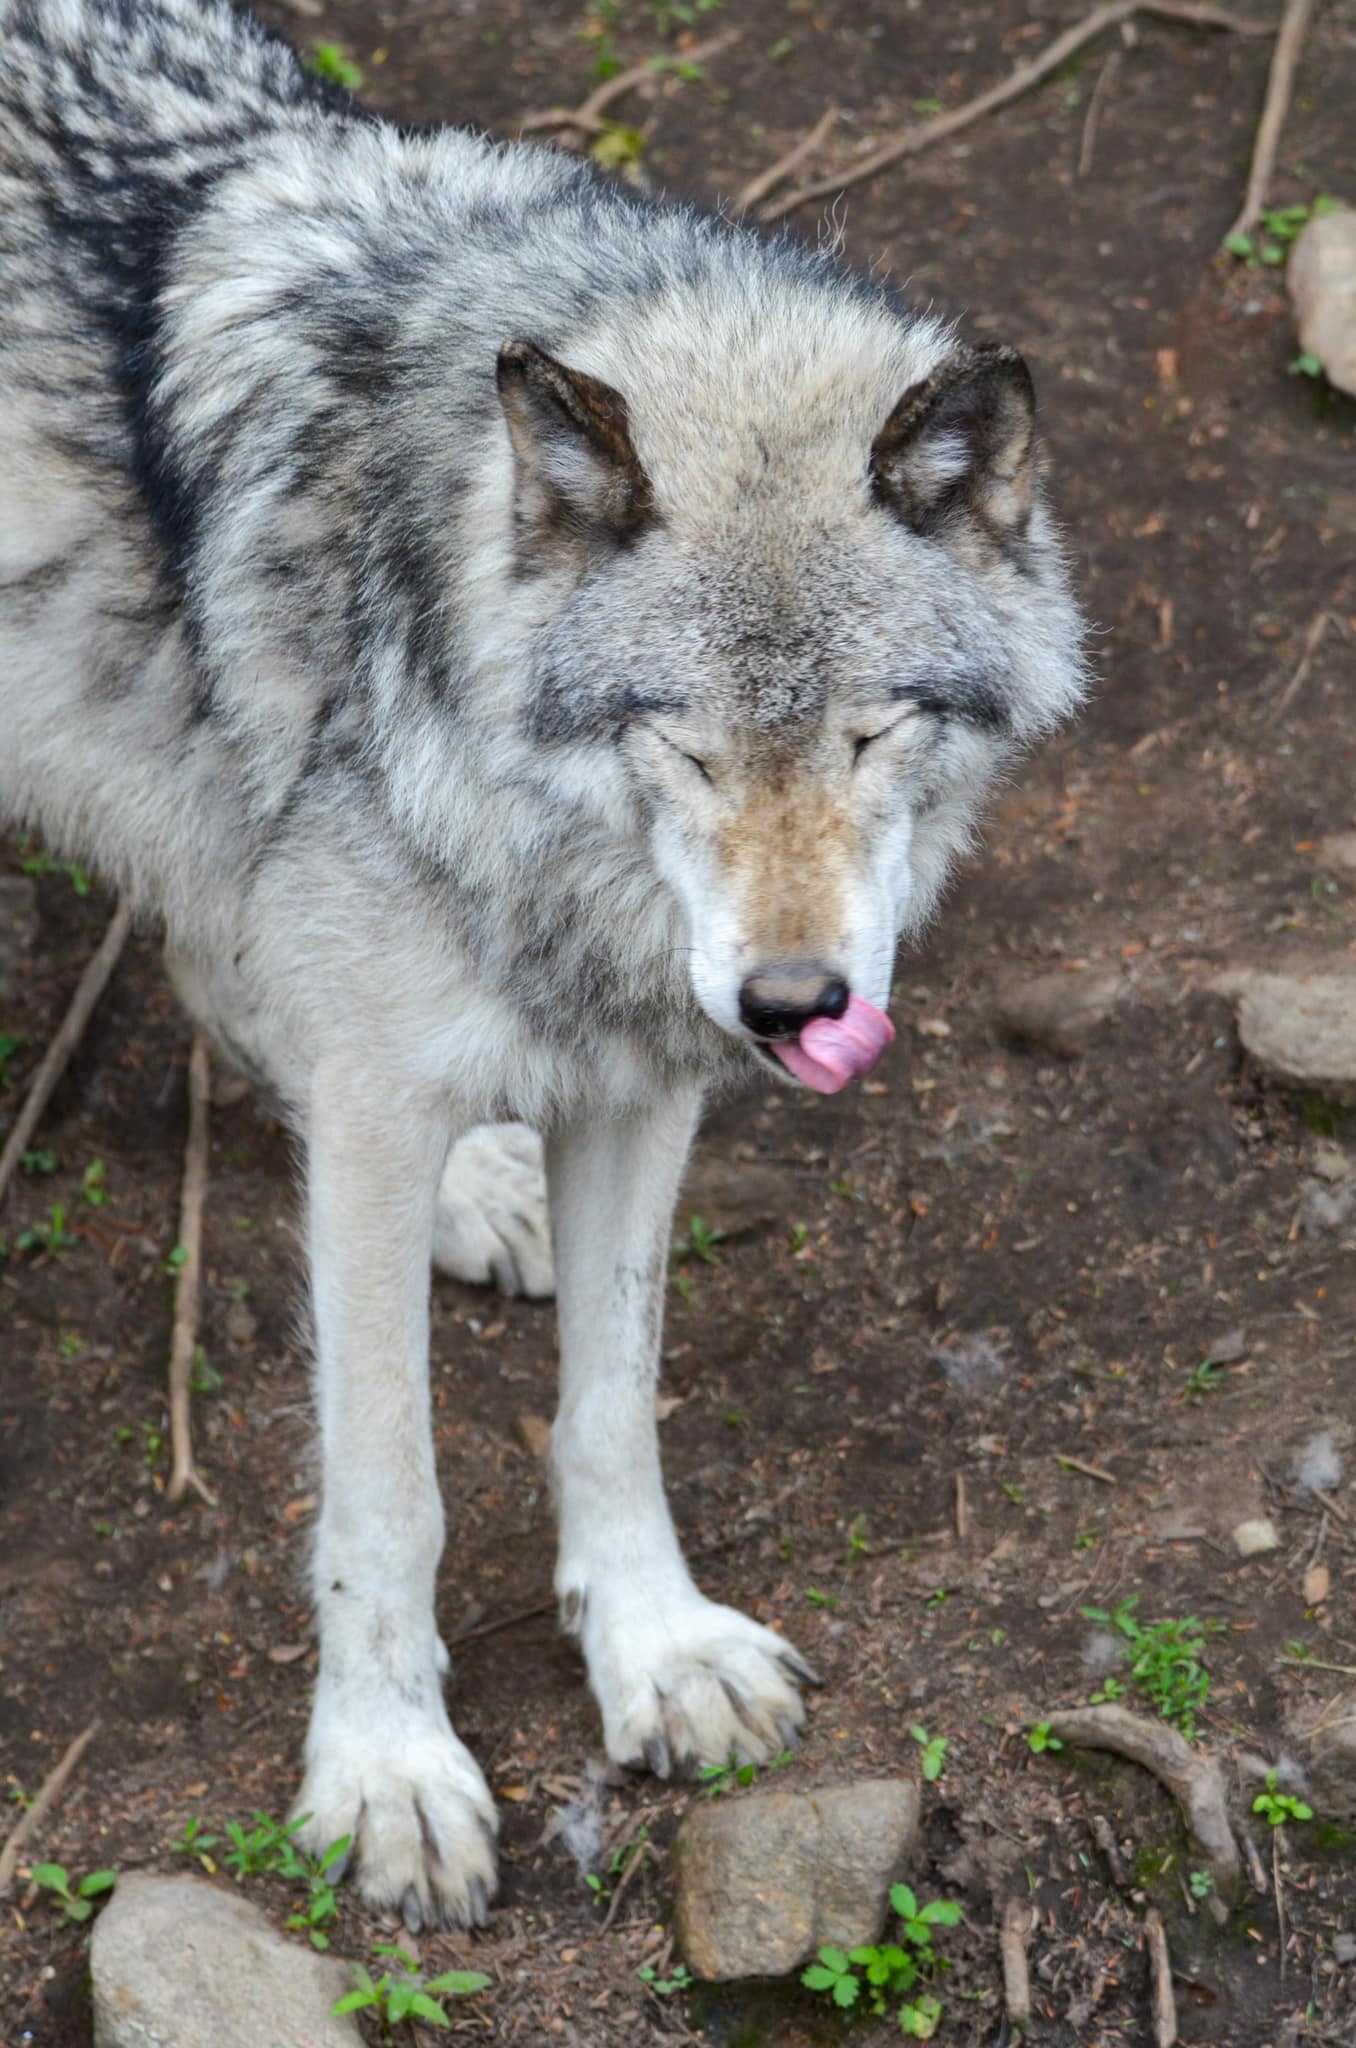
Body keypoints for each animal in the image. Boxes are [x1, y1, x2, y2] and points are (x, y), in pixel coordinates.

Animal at [0, 0, 1089, 1925]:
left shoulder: (643, 1084)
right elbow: (390, 1489)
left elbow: (611, 1409)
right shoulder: (376, 1113)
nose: (795, 1006)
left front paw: (655, 1653)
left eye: (872, 734)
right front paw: (387, 1771)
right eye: (688, 748)